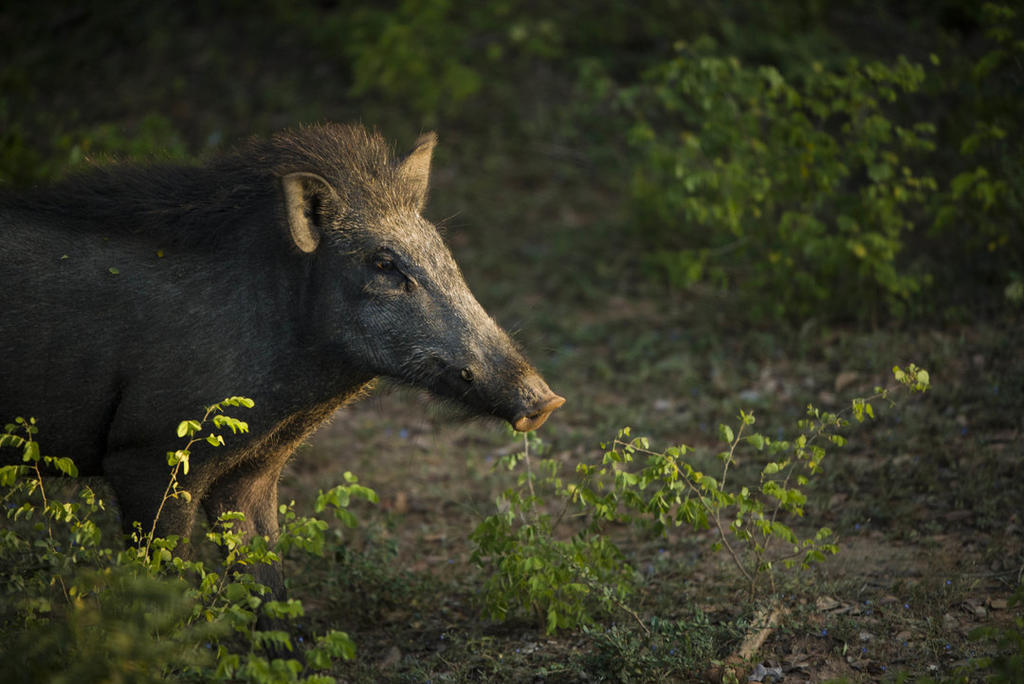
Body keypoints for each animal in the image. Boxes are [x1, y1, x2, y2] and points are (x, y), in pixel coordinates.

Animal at [0, 123, 564, 602]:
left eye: (444, 252)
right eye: (384, 263)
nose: (546, 401)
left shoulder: (249, 473)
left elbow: (268, 586)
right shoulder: (148, 455)